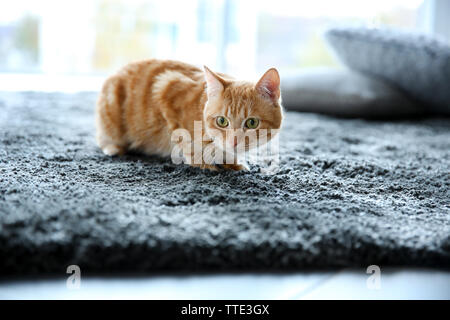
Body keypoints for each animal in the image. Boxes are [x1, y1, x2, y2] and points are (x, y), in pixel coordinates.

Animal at [96, 59, 284, 171]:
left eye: (252, 123)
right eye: (222, 121)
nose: (234, 141)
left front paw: (233, 162)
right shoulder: (166, 90)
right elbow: (187, 144)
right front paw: (205, 165)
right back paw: (114, 148)